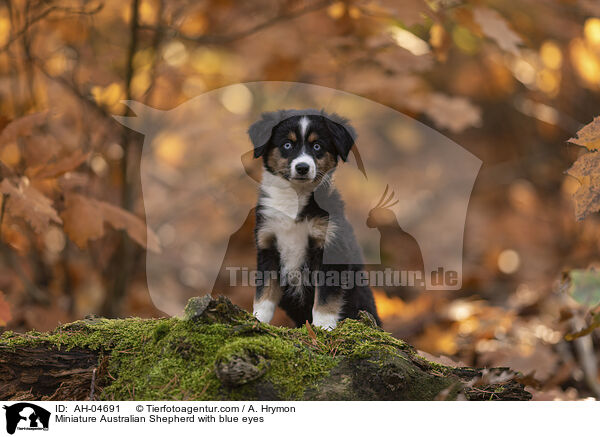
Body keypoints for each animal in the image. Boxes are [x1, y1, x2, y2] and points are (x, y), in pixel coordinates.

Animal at [247, 108, 380, 328]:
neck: (295, 199)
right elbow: (263, 294)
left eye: (317, 146)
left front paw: (323, 327)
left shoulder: (331, 247)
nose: (302, 167)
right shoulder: (267, 246)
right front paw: (257, 320)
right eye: (287, 144)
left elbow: (325, 297)